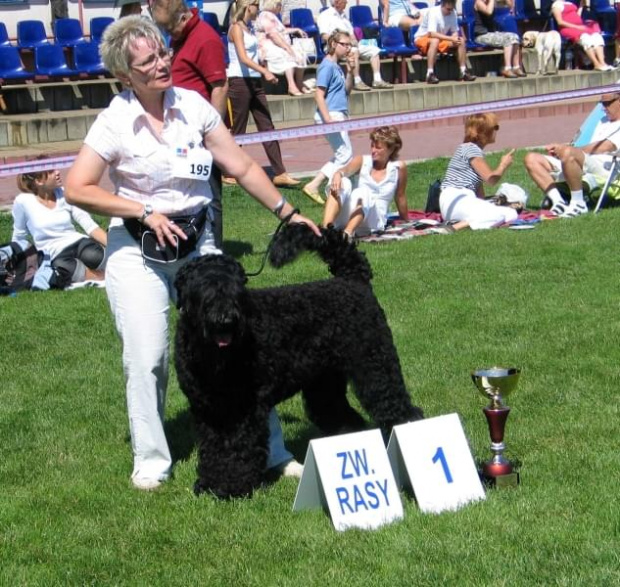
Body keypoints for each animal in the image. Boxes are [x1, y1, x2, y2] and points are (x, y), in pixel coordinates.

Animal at [176, 223, 426, 498]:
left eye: (237, 289)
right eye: (202, 288)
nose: (226, 319)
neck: (211, 356)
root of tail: (353, 279)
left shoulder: (243, 409)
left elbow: (237, 448)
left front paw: (231, 487)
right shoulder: (207, 409)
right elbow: (213, 448)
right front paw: (208, 483)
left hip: (376, 368)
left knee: (398, 408)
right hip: (325, 385)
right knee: (342, 416)